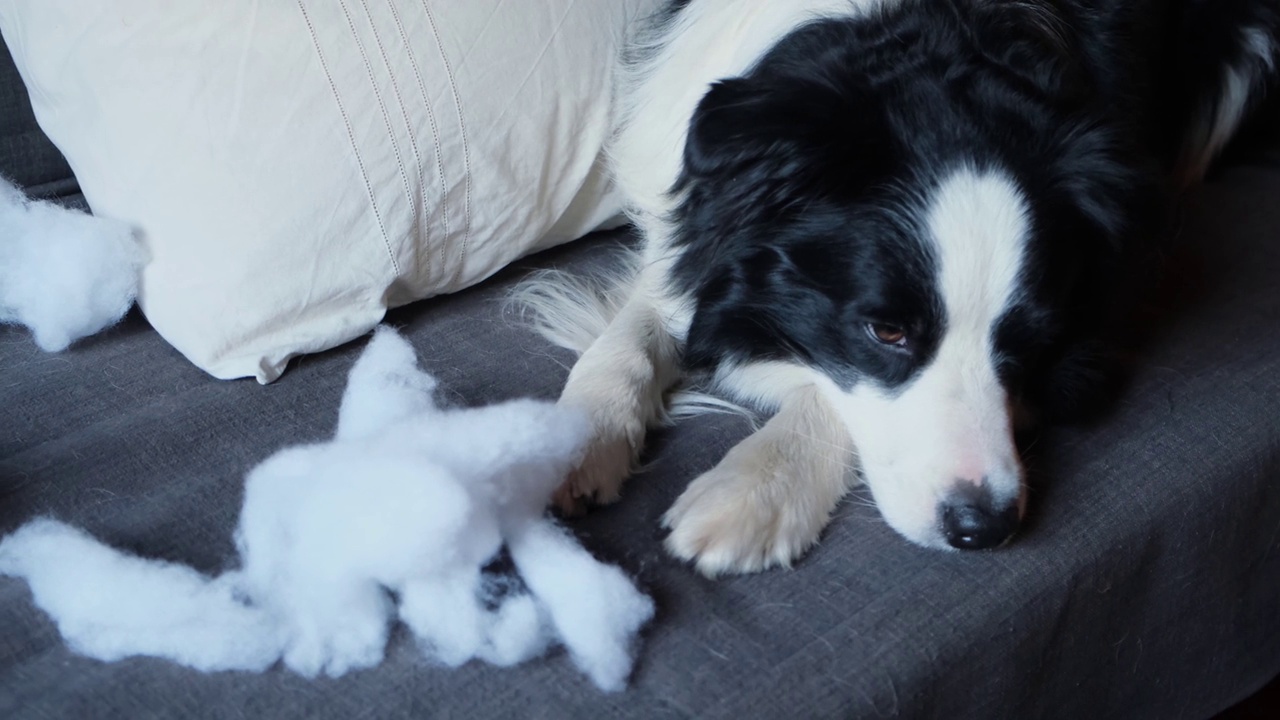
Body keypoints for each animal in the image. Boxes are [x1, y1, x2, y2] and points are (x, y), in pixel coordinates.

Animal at [517, 0, 1280, 571]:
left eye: (1034, 342)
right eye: (886, 330)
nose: (983, 529)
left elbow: (830, 394)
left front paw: (753, 492)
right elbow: (633, 334)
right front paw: (569, 444)